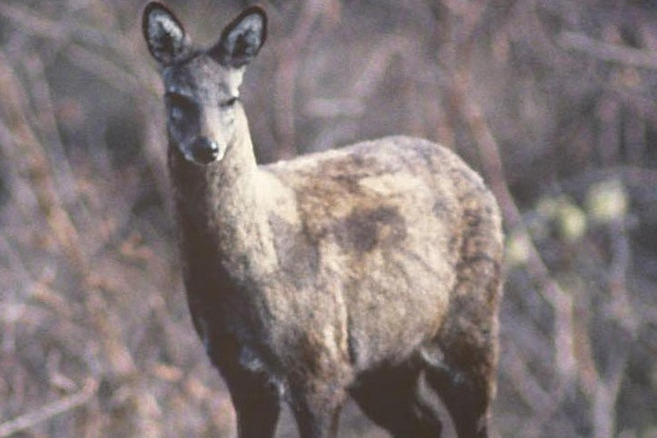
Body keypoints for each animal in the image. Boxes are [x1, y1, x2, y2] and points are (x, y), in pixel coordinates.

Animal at [142, 4, 502, 438]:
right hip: (385, 362)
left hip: (471, 326)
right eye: (175, 95)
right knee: (424, 422)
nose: (206, 146)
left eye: (231, 98)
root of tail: (472, 173)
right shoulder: (239, 372)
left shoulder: (318, 365)